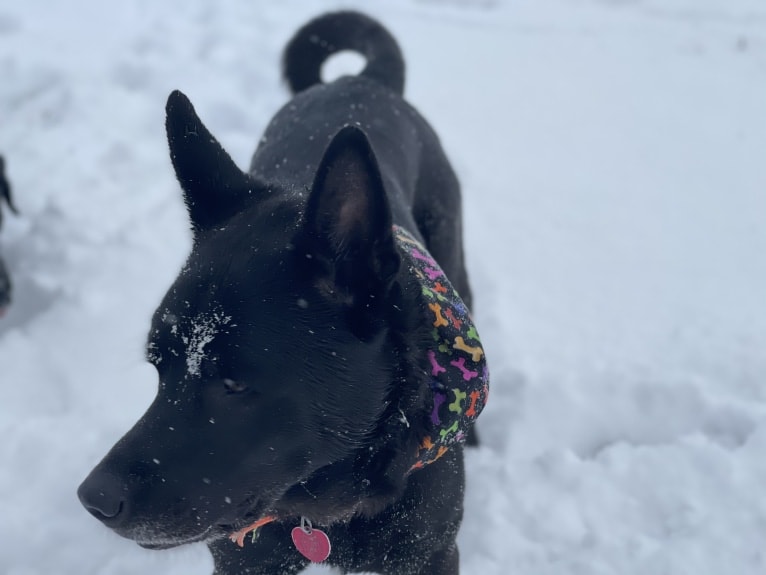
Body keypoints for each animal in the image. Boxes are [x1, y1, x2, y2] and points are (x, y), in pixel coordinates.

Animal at [76, 12, 486, 575]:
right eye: (159, 368)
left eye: (234, 385)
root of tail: (357, 81)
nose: (93, 500)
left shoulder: (428, 554)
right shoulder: (245, 559)